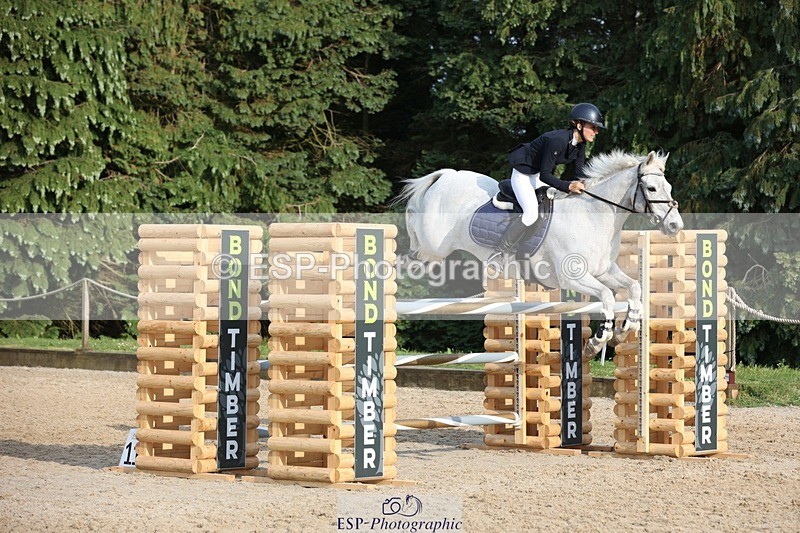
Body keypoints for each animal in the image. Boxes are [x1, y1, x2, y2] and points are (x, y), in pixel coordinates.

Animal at [396, 150, 684, 357]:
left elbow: (634, 288)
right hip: (434, 243)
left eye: (669, 187)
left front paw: (626, 330)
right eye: (652, 189)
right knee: (413, 234)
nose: (675, 226)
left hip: (435, 248)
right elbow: (606, 297)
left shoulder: (604, 271)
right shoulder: (572, 277)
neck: (592, 215)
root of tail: (446, 176)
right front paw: (597, 341)